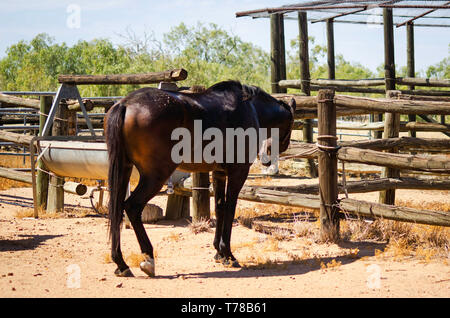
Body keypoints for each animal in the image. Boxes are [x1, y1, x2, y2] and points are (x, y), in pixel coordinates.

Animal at [105, 80, 296, 278]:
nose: (268, 158)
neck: (250, 107)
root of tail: (125, 103)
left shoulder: (219, 173)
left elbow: (220, 208)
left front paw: (219, 253)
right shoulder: (238, 172)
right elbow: (230, 209)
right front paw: (228, 254)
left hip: (124, 169)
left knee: (116, 209)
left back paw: (121, 264)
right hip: (155, 176)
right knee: (132, 207)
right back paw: (148, 259)